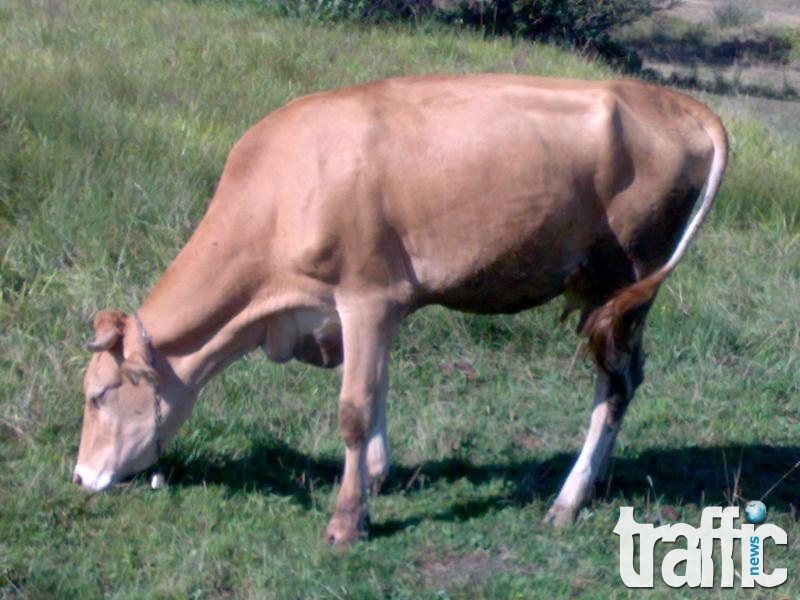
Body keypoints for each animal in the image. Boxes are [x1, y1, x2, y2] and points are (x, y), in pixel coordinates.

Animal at [72, 74, 728, 544]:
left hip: (629, 281)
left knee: (615, 387)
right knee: (622, 382)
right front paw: (374, 480)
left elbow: (354, 409)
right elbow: (379, 389)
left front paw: (345, 522)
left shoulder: (366, 296)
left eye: (98, 395)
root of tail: (673, 101)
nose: (80, 476)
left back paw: (566, 501)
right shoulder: (379, 309)